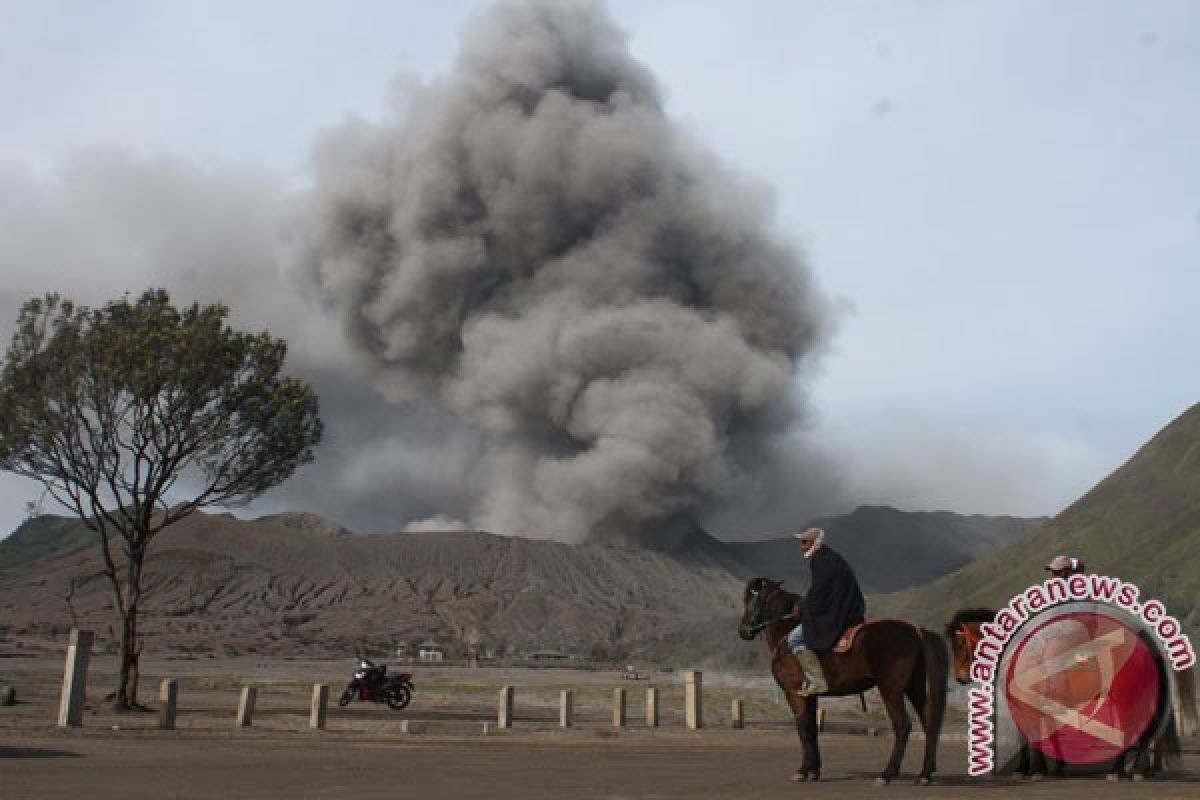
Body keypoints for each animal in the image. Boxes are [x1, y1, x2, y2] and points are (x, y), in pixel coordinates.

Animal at [734, 578, 950, 786]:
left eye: (752, 599)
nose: (744, 631)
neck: (786, 635)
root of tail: (916, 631)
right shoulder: (810, 695)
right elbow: (812, 729)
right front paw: (814, 770)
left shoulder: (794, 693)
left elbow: (803, 728)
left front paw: (803, 771)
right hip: (914, 688)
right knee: (929, 724)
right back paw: (925, 774)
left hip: (891, 690)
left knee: (903, 726)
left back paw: (887, 774)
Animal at [945, 609, 1190, 777]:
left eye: (960, 644)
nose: (960, 677)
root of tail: (1146, 646)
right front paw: (1046, 767)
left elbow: (1032, 735)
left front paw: (1036, 769)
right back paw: (1138, 768)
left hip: (1126, 698)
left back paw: (1121, 771)